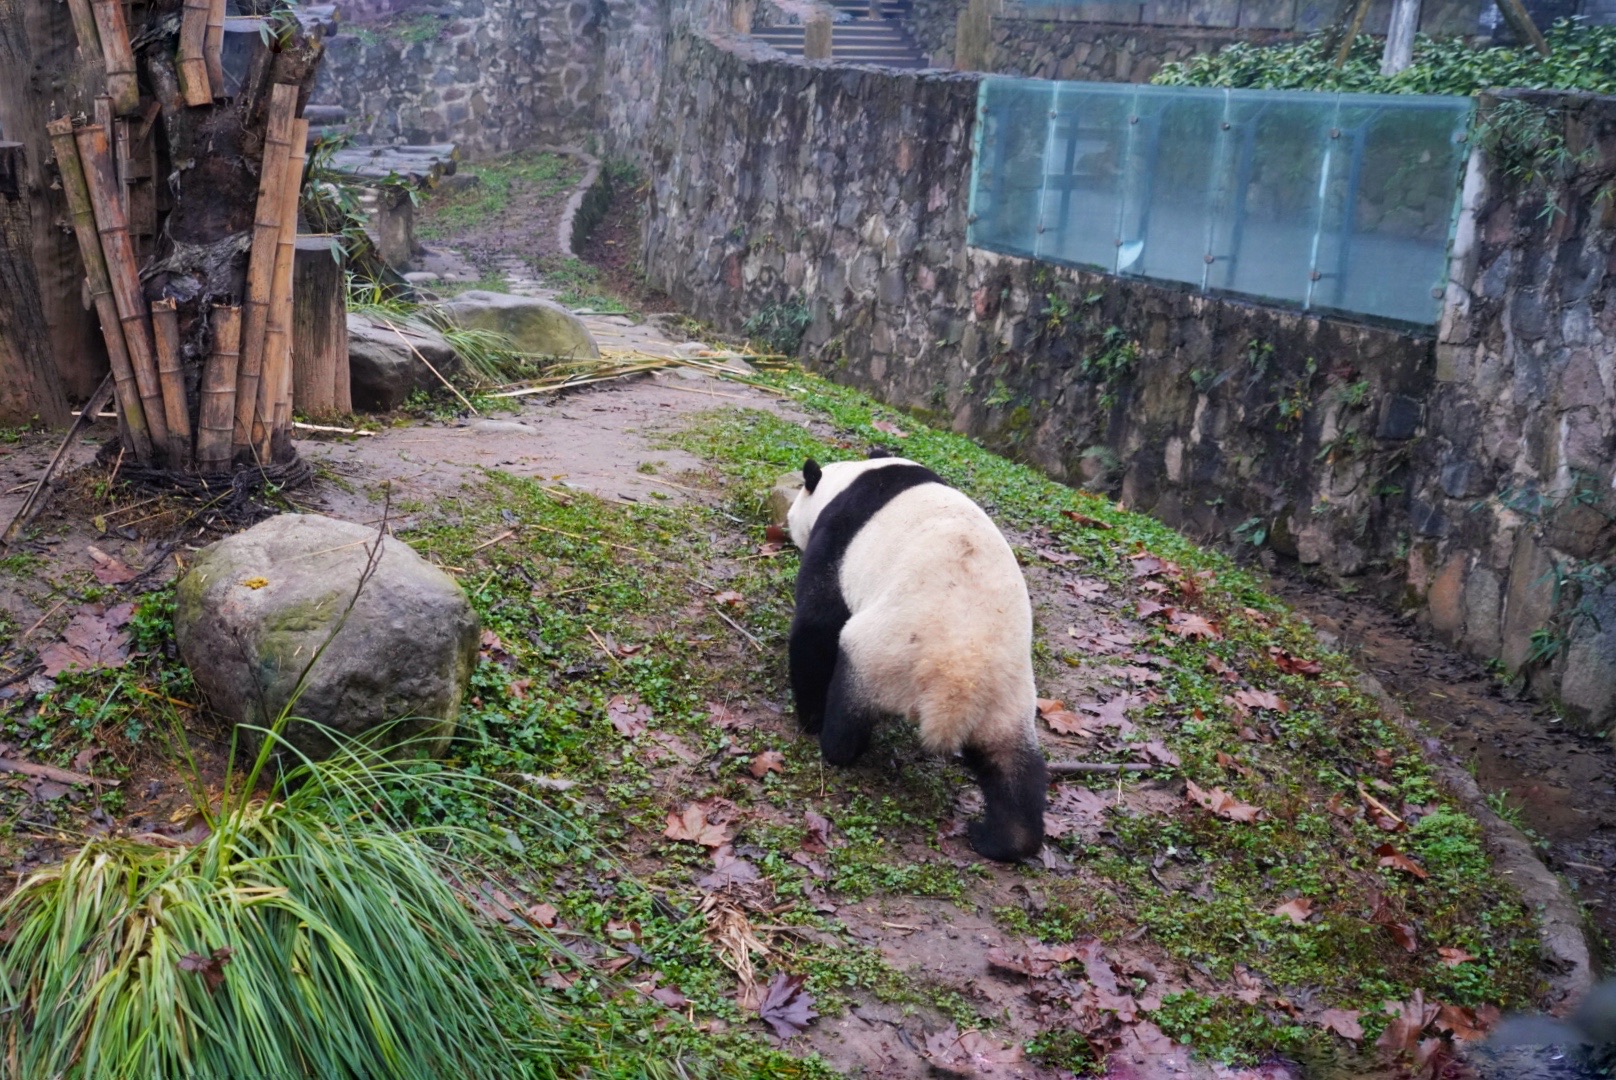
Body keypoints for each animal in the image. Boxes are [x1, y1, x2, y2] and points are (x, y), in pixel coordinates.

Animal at [782, 449, 1047, 860]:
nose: (786, 525)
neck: (850, 477)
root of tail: (955, 688)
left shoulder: (838, 538)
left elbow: (818, 623)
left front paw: (808, 715)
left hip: (883, 656)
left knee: (849, 703)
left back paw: (833, 741)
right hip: (1007, 697)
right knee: (1014, 768)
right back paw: (1002, 838)